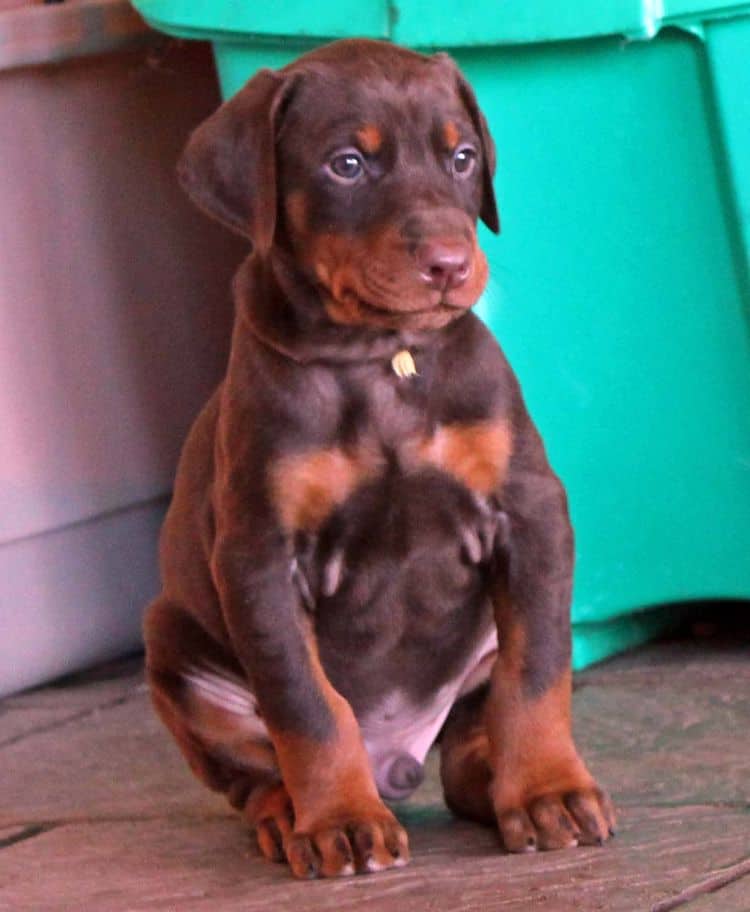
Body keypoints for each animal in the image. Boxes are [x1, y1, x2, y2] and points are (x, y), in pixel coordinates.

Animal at [142, 39, 616, 880]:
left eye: (461, 156)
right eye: (347, 165)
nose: (450, 264)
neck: (382, 357)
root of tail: (397, 758)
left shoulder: (529, 512)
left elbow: (534, 671)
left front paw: (548, 791)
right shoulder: (259, 556)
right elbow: (306, 705)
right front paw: (340, 820)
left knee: (468, 750)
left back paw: (500, 781)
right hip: (171, 645)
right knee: (254, 772)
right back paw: (290, 816)